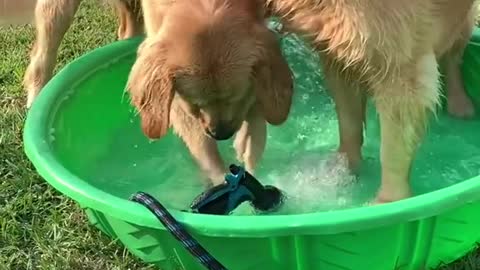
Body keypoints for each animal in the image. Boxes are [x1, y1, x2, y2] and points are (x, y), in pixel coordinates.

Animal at [125, 0, 294, 186]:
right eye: (196, 104)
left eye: (235, 98)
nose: (221, 134)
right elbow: (201, 143)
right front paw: (220, 175)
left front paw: (249, 145)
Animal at [264, 0, 478, 202]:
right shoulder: (341, 51)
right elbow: (349, 125)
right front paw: (345, 170)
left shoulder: (399, 68)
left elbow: (392, 152)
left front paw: (388, 201)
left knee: (454, 54)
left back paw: (460, 104)